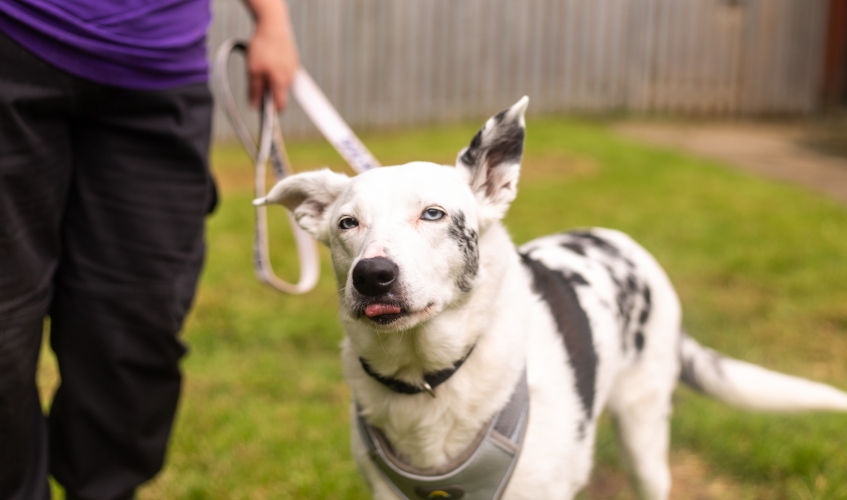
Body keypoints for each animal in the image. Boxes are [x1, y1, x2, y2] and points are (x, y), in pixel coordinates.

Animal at [255, 95, 847, 498]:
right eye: (346, 224)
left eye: (433, 214)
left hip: (645, 433)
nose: (372, 275)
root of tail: (620, 241)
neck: (427, 378)